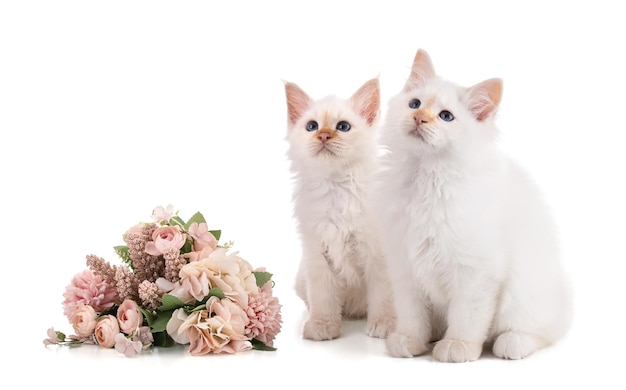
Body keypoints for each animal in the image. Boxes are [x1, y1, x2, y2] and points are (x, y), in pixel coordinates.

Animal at [284, 77, 394, 340]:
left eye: (343, 127)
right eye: (312, 126)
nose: (324, 135)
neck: (337, 189)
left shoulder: (378, 256)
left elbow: (383, 295)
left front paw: (384, 324)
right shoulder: (317, 254)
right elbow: (322, 297)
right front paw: (322, 325)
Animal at [370, 49, 572, 362]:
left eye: (446, 116)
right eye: (415, 104)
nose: (419, 118)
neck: (426, 178)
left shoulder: (476, 272)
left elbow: (467, 317)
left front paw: (457, 346)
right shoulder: (405, 266)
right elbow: (412, 315)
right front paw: (409, 341)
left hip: (525, 295)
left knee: (541, 332)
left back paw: (511, 343)